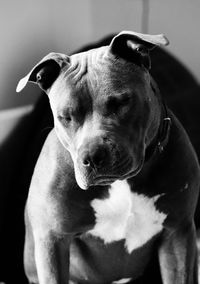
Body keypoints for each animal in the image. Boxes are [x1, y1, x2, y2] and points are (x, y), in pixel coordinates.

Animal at [16, 30, 199, 282]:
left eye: (120, 103)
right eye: (65, 116)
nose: (92, 157)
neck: (123, 183)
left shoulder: (177, 233)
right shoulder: (52, 241)